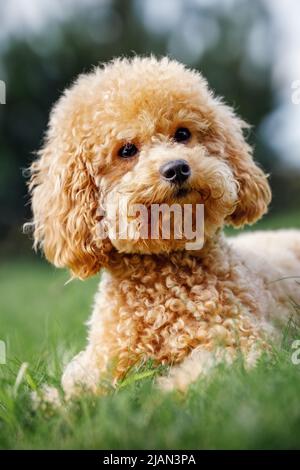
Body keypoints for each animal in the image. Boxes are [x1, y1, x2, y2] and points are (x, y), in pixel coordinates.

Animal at [28, 56, 300, 396]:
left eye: (182, 133)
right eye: (127, 150)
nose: (177, 168)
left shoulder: (243, 340)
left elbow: (206, 372)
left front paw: (161, 393)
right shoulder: (104, 359)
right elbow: (77, 387)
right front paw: (53, 402)